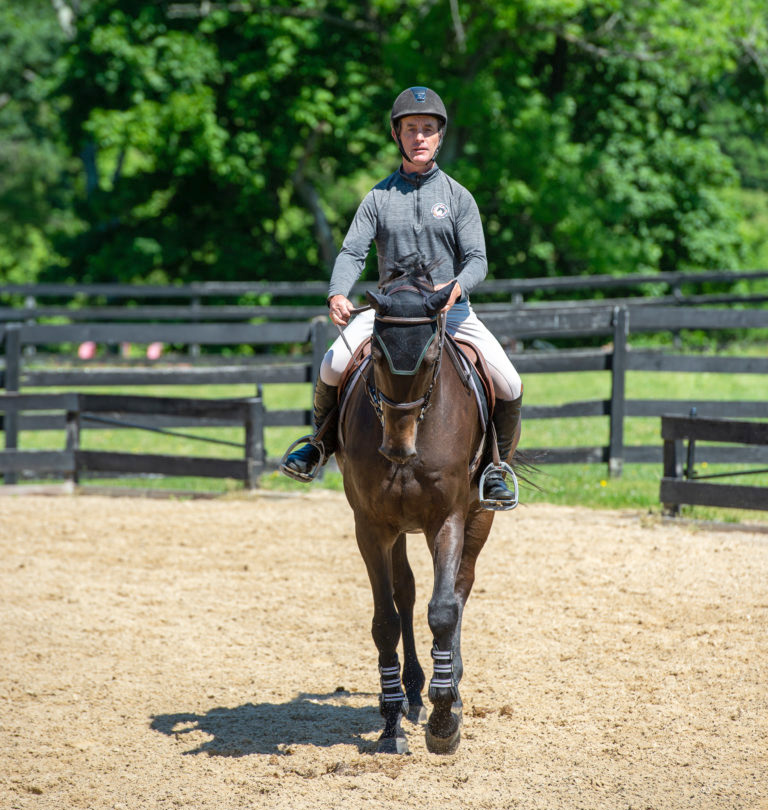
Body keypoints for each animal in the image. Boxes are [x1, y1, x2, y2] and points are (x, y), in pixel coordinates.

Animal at [334, 263, 519, 754]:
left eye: (433, 359)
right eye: (377, 358)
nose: (398, 450)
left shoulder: (447, 519)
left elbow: (444, 608)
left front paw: (443, 719)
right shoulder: (371, 526)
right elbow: (386, 619)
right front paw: (391, 723)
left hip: (479, 516)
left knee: (460, 586)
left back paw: (449, 685)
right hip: (398, 527)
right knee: (406, 591)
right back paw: (413, 692)